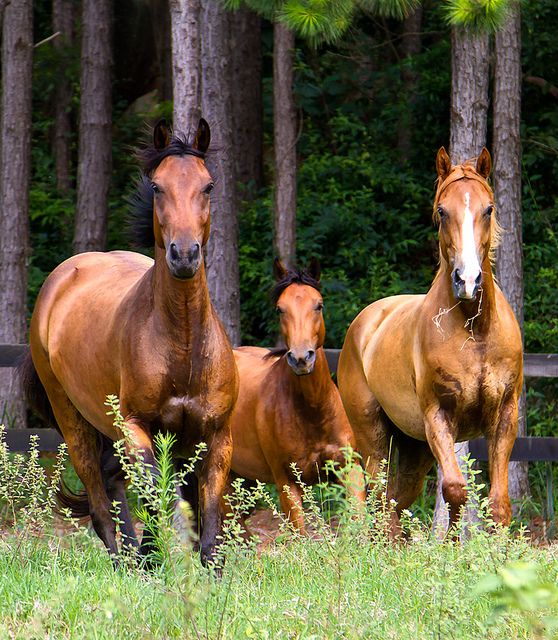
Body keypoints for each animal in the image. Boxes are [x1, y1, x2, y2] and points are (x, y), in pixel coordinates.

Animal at [24, 120, 238, 564]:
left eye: (208, 185)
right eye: (157, 186)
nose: (184, 254)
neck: (183, 347)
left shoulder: (217, 437)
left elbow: (209, 517)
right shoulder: (138, 429)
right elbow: (158, 493)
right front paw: (154, 556)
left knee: (113, 481)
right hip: (74, 422)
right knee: (99, 497)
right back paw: (129, 560)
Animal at [231, 258, 368, 532]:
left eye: (319, 305)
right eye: (279, 309)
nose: (301, 358)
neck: (313, 412)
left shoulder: (349, 469)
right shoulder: (287, 481)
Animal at [336, 148, 524, 532]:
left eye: (488, 208)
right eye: (442, 211)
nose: (468, 281)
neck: (476, 333)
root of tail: (364, 323)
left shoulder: (505, 415)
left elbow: (499, 504)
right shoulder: (438, 416)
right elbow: (454, 490)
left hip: (413, 446)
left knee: (395, 502)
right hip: (373, 437)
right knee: (378, 500)